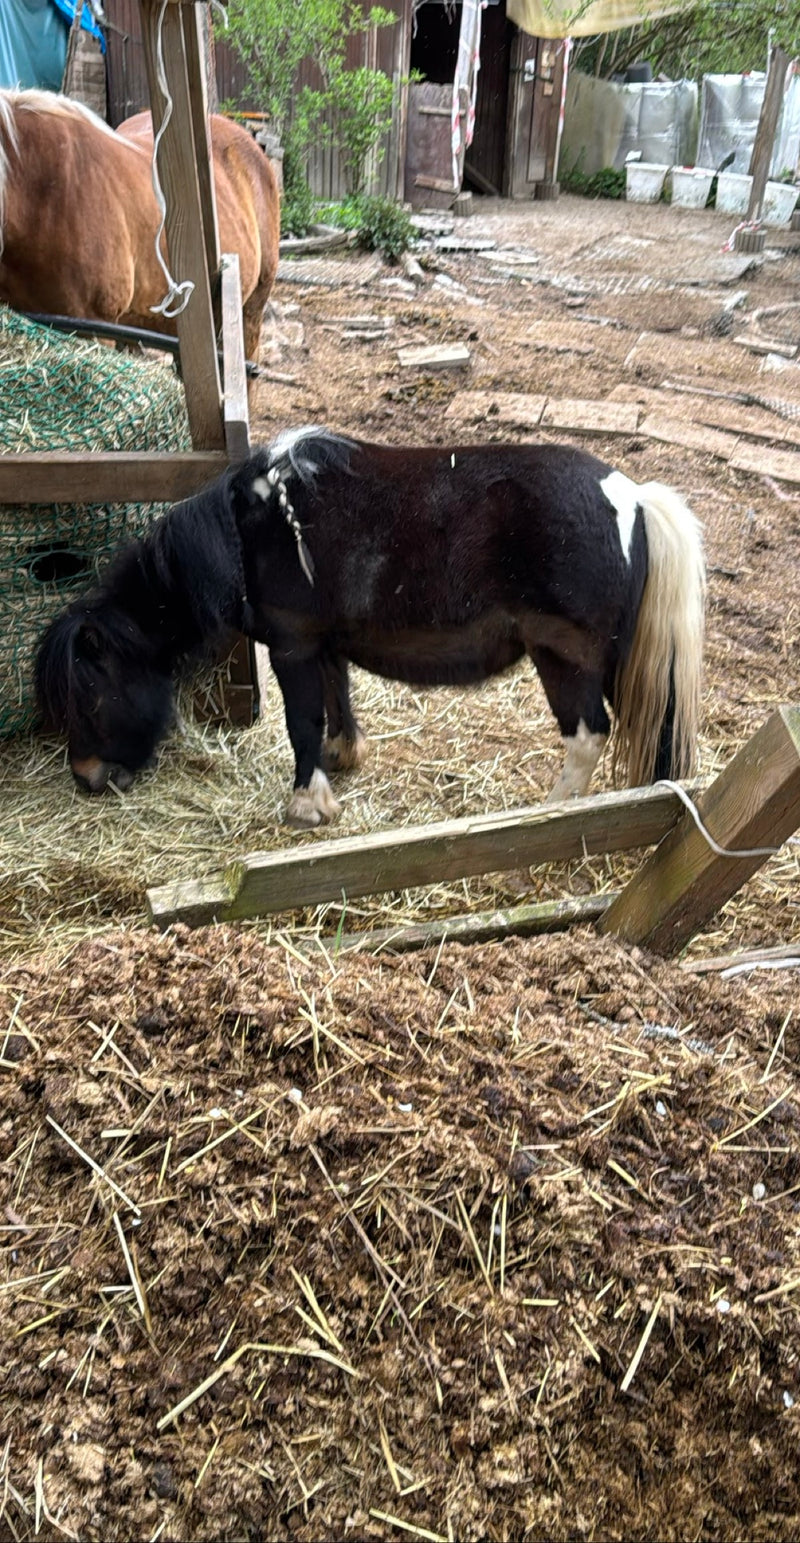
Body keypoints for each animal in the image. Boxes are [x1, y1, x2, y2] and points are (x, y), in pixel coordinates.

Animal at [35, 426, 706, 827]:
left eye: (88, 700)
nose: (86, 778)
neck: (248, 532)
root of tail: (633, 499)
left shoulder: (292, 646)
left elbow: (301, 723)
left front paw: (307, 804)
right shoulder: (323, 645)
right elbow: (338, 702)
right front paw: (342, 759)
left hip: (566, 659)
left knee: (588, 736)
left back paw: (550, 813)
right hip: (618, 658)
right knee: (658, 727)